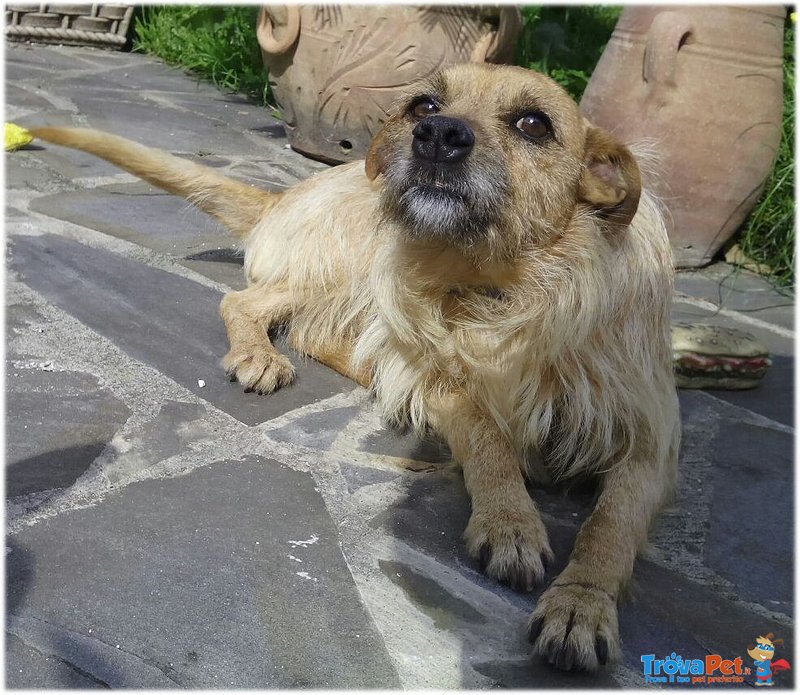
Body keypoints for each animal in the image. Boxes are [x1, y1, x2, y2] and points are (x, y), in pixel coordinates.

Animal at [31, 62, 680, 672]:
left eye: (533, 124)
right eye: (424, 104)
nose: (437, 134)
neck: (500, 290)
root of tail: (283, 196)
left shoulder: (648, 443)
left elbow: (612, 524)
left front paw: (582, 602)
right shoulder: (442, 382)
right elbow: (488, 437)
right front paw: (510, 520)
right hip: (350, 257)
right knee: (249, 304)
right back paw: (262, 354)